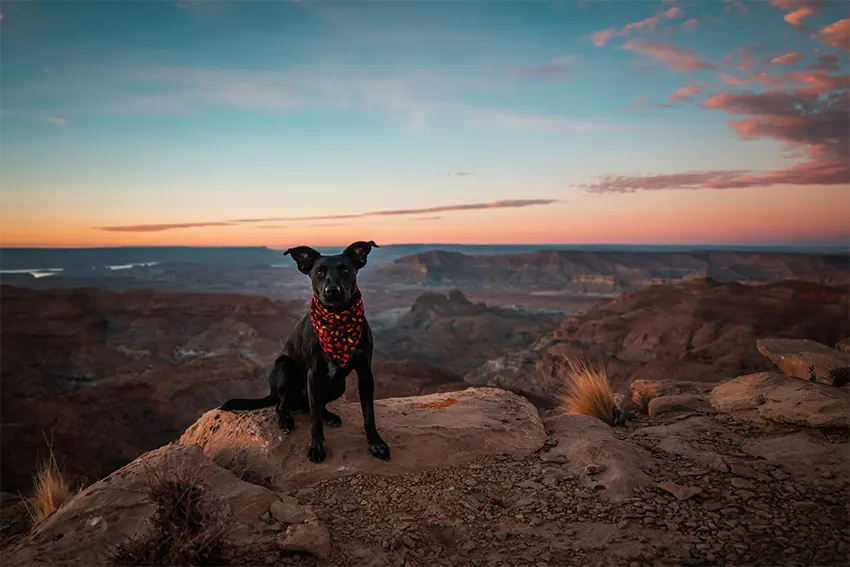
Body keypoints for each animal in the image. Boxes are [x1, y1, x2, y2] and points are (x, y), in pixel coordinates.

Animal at [219, 241, 390, 466]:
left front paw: (376, 443)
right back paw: (285, 419)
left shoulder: (365, 373)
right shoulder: (314, 374)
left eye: (345, 270)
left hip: (339, 385)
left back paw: (328, 415)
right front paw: (316, 446)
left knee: (312, 406)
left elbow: (369, 414)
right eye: (319, 272)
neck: (337, 320)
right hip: (284, 368)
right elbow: (314, 422)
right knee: (282, 405)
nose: (331, 291)